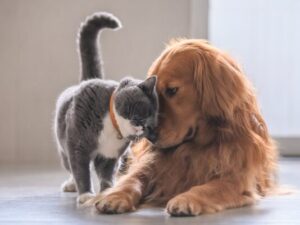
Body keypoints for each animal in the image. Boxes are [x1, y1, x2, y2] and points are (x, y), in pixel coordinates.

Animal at [53, 13, 158, 205]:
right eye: (145, 111)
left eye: (152, 125)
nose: (144, 126)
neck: (112, 126)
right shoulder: (77, 145)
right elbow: (80, 170)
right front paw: (86, 194)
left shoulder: (110, 155)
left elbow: (106, 173)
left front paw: (108, 190)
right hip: (63, 147)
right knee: (69, 166)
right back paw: (71, 185)